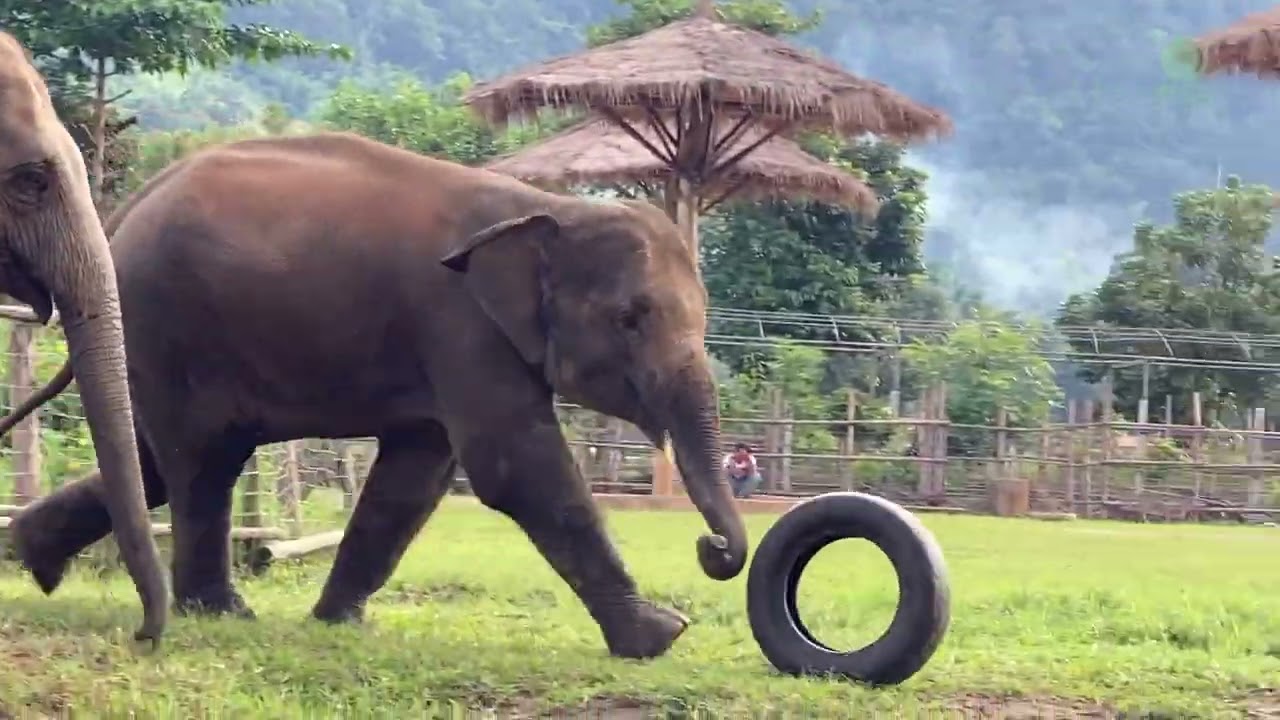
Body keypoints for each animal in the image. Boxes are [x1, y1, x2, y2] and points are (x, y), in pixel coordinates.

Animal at [0, 130, 748, 659]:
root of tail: (123, 213)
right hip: (168, 325)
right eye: (630, 319)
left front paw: (340, 625)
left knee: (157, 462)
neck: (550, 210)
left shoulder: (449, 346)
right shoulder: (459, 323)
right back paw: (218, 612)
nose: (712, 548)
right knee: (201, 462)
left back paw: (36, 558)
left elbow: (416, 477)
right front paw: (663, 635)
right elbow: (513, 465)